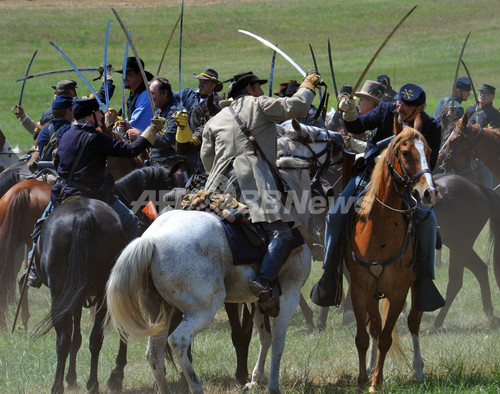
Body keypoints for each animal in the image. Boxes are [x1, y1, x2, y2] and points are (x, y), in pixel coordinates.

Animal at [106, 120, 344, 394]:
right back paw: (195, 386)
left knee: (154, 354)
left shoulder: (259, 298)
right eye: (315, 133)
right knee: (178, 341)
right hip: (203, 308)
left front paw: (255, 378)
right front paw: (273, 384)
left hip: (159, 310)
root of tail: (151, 240)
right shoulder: (290, 293)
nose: (340, 139)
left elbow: (264, 337)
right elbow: (278, 342)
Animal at [348, 127, 438, 392]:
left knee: (413, 321)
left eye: (428, 150)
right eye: (405, 152)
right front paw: (363, 379)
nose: (428, 193)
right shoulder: (361, 288)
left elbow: (386, 337)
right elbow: (364, 335)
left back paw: (418, 370)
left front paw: (376, 382)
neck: (379, 229)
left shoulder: (399, 290)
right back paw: (370, 367)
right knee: (374, 327)